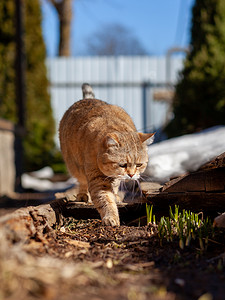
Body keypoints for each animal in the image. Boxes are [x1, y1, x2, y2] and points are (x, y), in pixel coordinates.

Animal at [59, 82, 155, 225]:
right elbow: (105, 200)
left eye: (139, 165)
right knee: (81, 181)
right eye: (122, 165)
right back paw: (82, 195)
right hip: (75, 166)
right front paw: (111, 217)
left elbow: (113, 188)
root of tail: (87, 99)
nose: (131, 175)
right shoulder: (98, 180)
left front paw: (115, 198)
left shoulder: (114, 179)